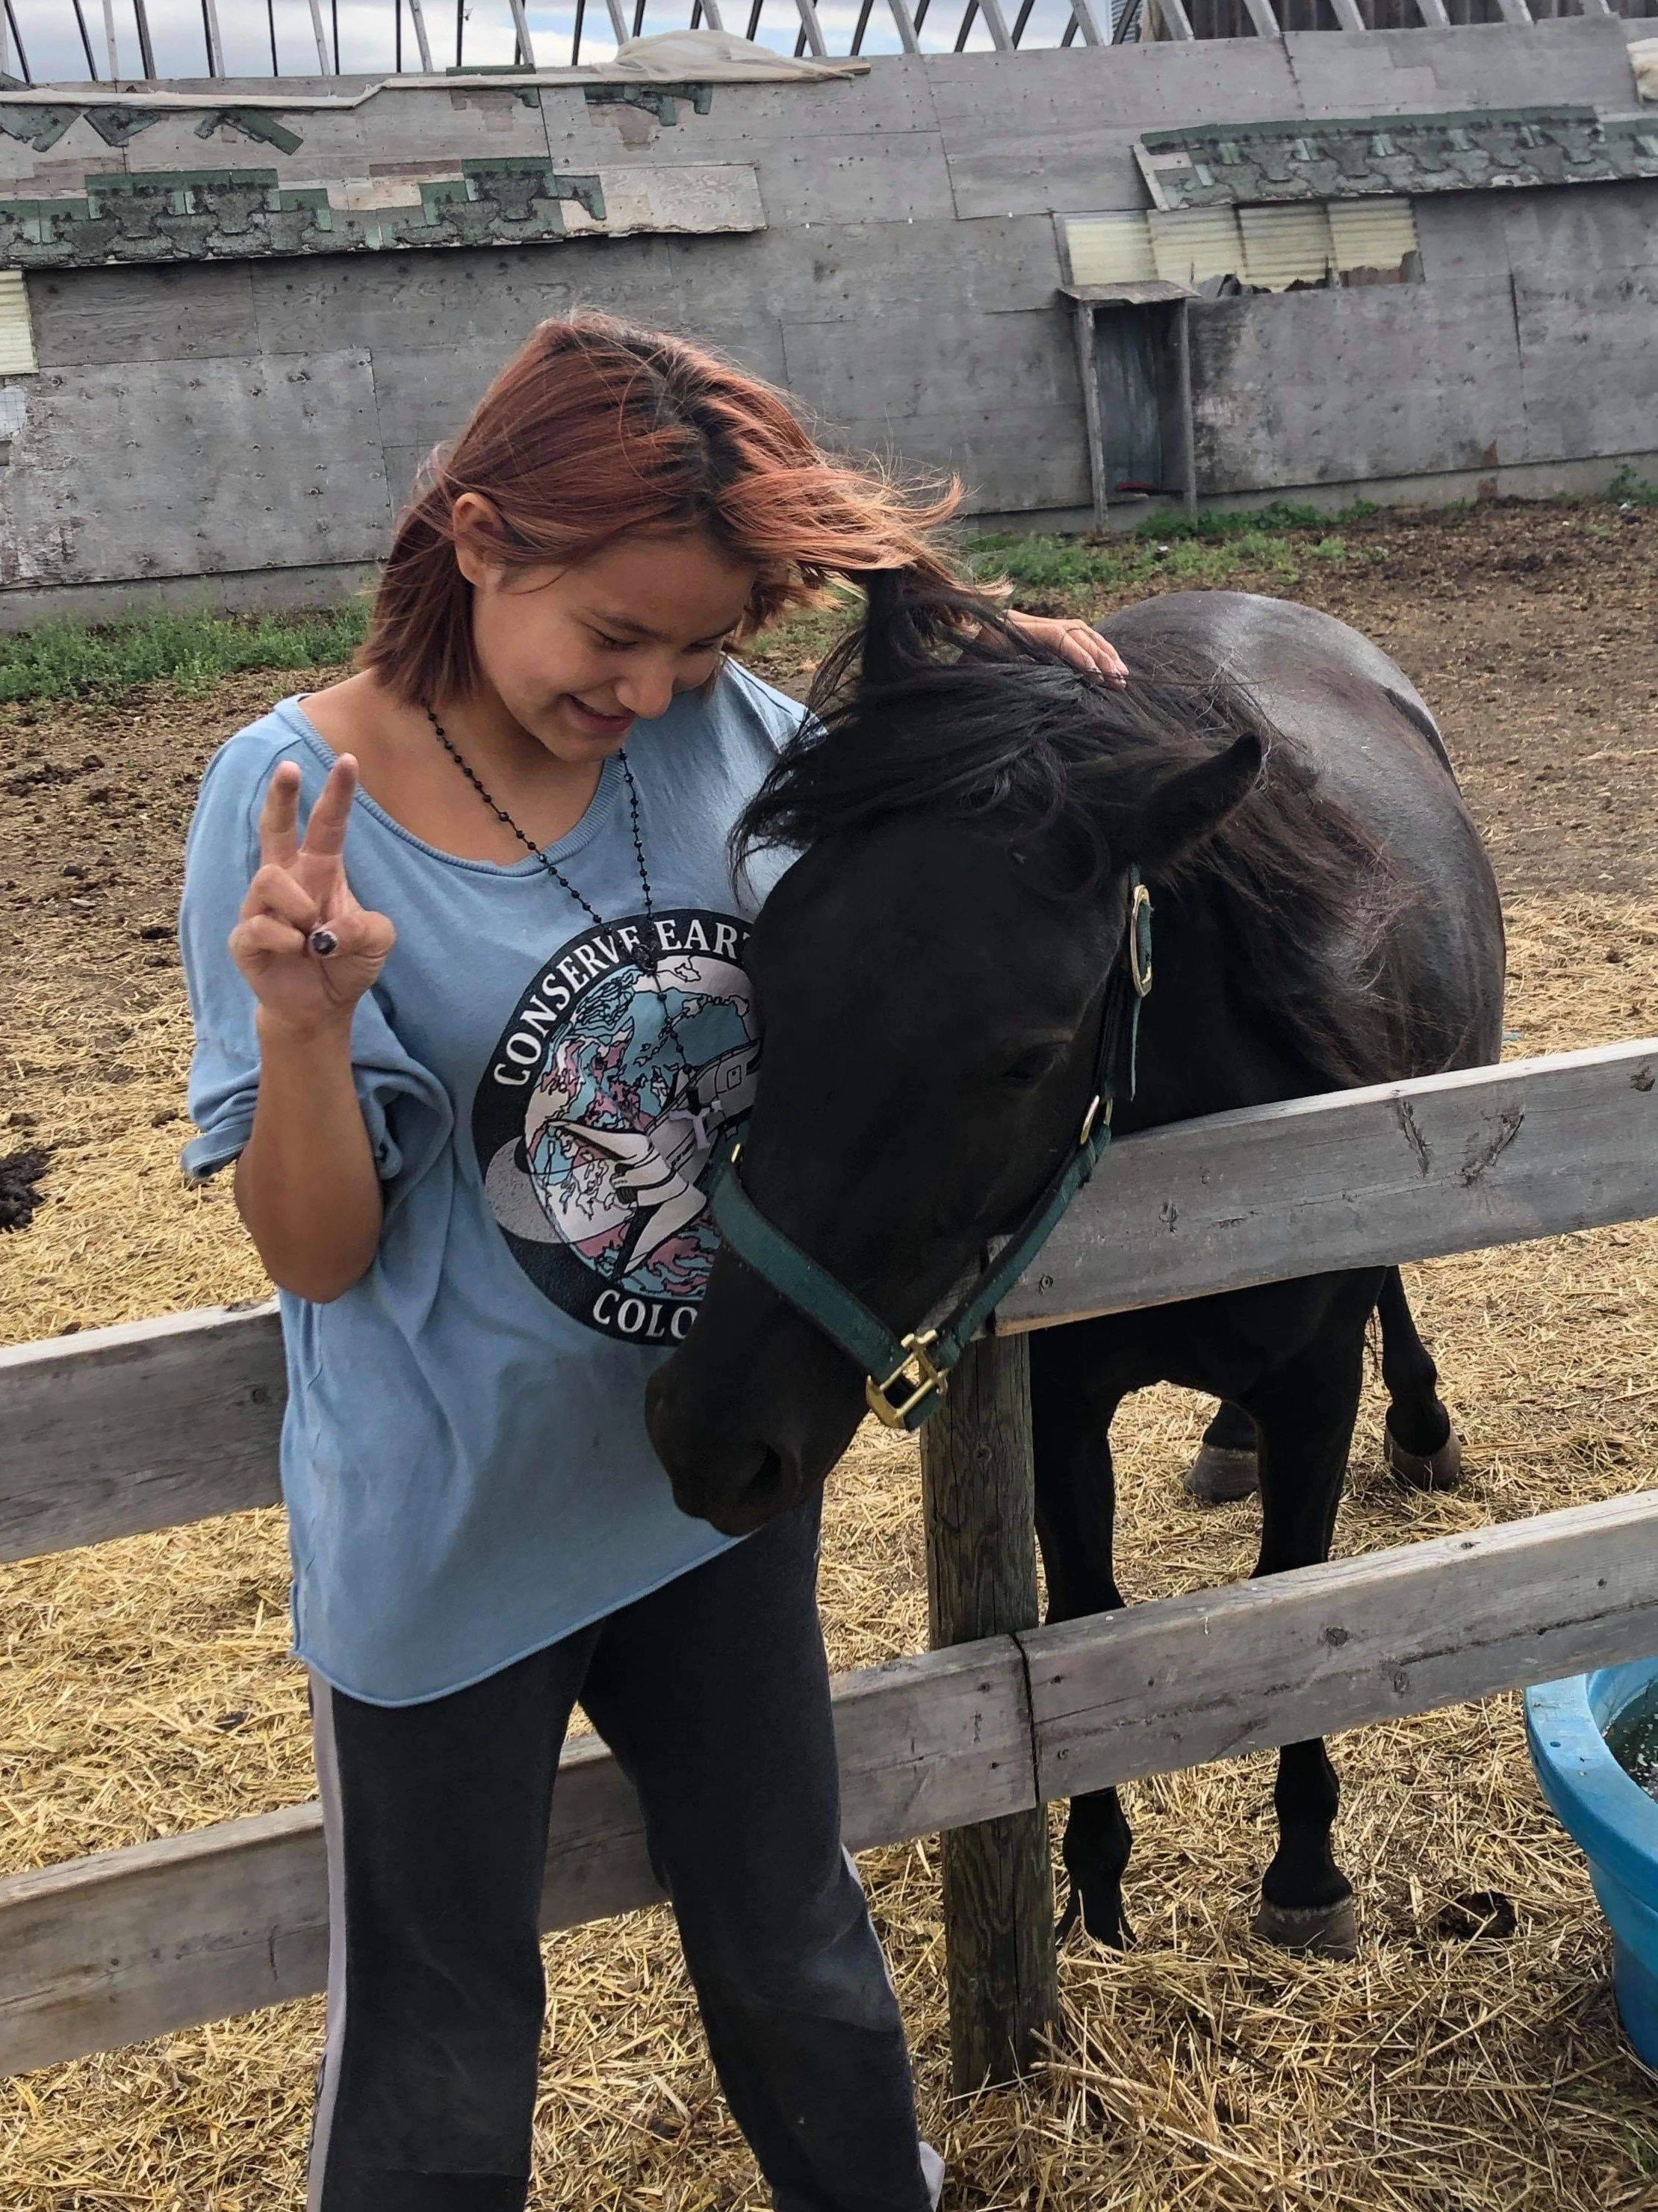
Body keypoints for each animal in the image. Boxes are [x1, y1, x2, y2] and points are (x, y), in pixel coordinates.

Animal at [647, 577, 1505, 1958]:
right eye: (765, 972)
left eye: (1024, 1057)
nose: (710, 1434)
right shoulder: (1057, 1403)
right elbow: (1084, 1617)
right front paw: (1095, 1870)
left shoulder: (1317, 1378)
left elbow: (1291, 1596)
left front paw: (1305, 1866)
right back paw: (1227, 1438)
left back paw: (1419, 1427)